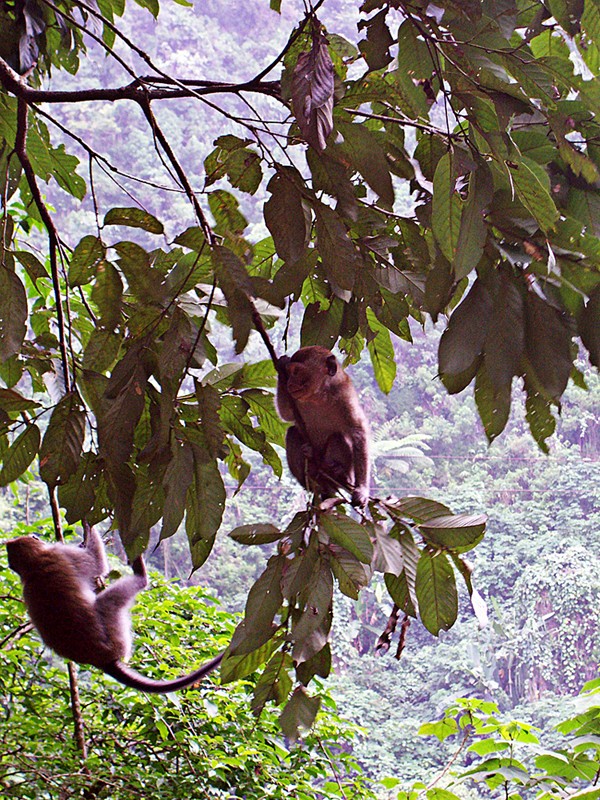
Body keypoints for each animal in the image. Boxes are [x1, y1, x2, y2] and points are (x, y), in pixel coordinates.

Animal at [6, 528, 223, 692]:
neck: (32, 566)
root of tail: (102, 660)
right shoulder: (62, 553)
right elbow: (97, 564)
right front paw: (88, 523)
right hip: (113, 631)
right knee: (110, 601)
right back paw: (141, 574)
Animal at [276, 344, 370, 506]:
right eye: (289, 373)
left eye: (296, 371)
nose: (289, 383)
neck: (318, 395)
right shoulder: (296, 399)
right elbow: (286, 414)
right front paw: (281, 364)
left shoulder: (345, 395)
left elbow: (358, 431)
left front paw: (362, 489)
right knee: (293, 432)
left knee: (337, 437)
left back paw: (340, 472)